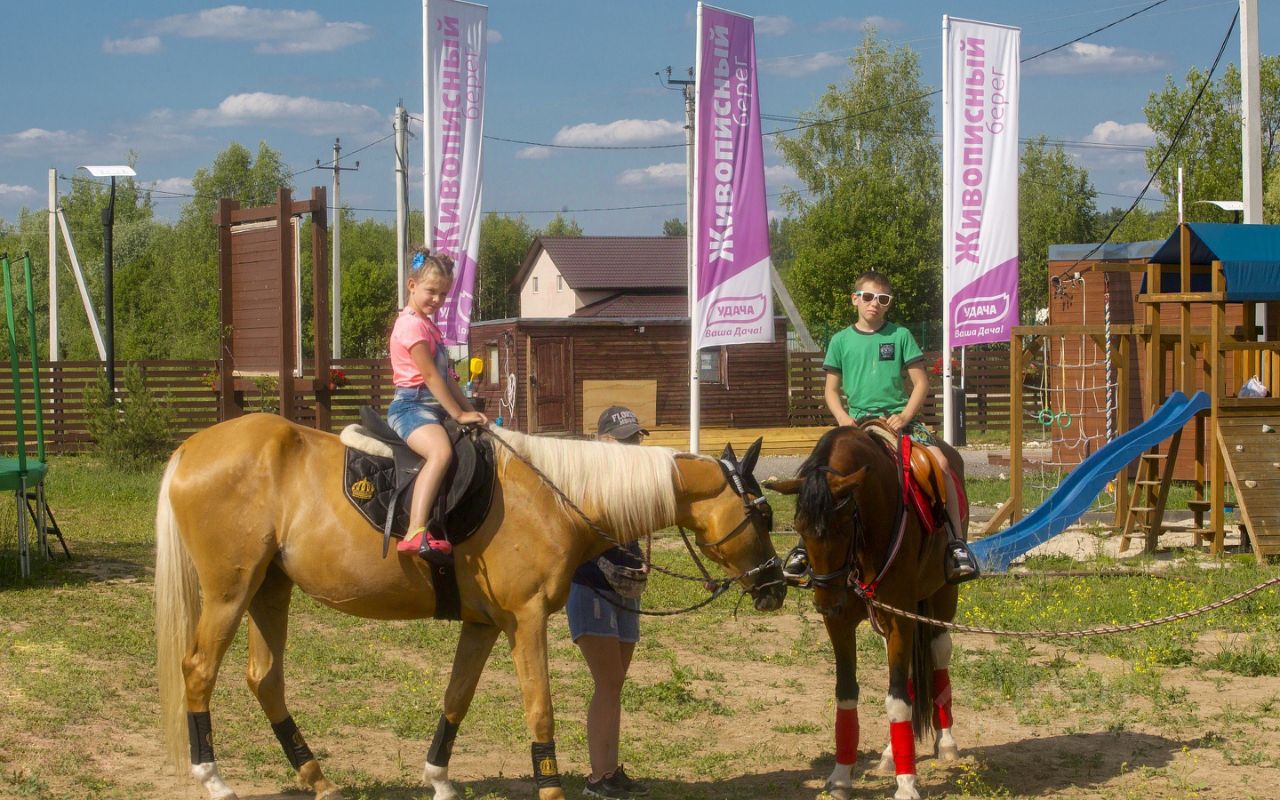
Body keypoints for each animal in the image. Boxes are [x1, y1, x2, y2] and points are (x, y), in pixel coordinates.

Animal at [155, 414, 786, 800]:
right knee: (199, 671)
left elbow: (456, 698)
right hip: (230, 593)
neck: (553, 496)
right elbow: (540, 710)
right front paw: (550, 786)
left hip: (269, 591)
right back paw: (212, 777)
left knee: (265, 679)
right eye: (762, 514)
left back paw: (318, 778)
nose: (777, 585)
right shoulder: (526, 621)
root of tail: (190, 448)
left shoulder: (483, 625)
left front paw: (438, 778)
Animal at [765, 424, 965, 800]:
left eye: (844, 525)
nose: (826, 601)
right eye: (798, 527)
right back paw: (890, 754)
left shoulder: (900, 616)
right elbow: (847, 693)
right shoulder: (841, 622)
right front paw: (841, 777)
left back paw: (946, 742)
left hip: (944, 595)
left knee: (938, 653)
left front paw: (907, 784)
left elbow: (897, 700)